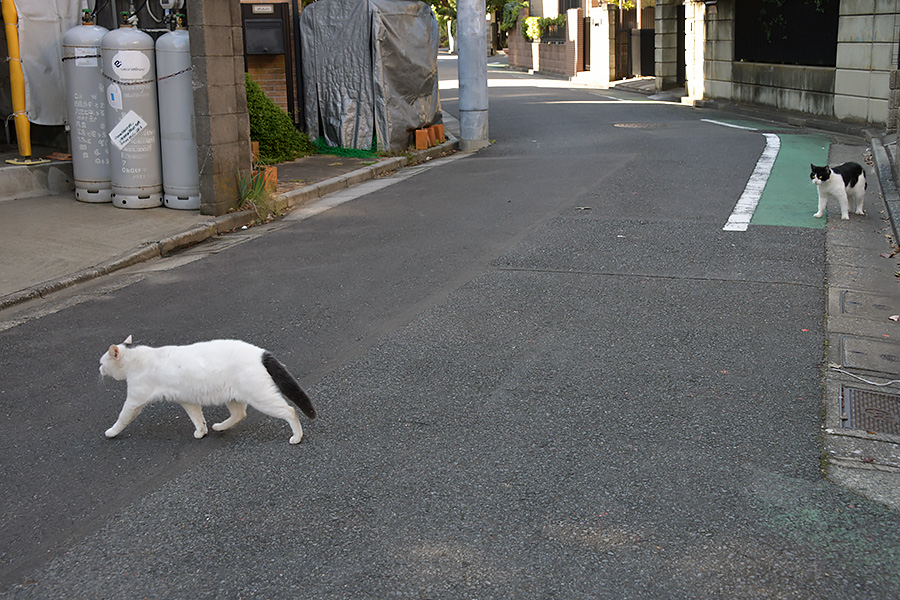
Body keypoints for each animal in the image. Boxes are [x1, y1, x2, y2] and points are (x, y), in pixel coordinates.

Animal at [97, 336, 316, 442]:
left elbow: (122, 418)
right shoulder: (187, 400)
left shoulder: (134, 400)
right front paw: (201, 432)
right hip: (233, 397)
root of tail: (260, 352)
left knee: (290, 411)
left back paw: (297, 437)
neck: (135, 359)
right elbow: (197, 417)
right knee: (240, 414)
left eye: (101, 363)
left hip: (261, 397)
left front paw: (111, 432)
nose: (99, 369)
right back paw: (219, 427)